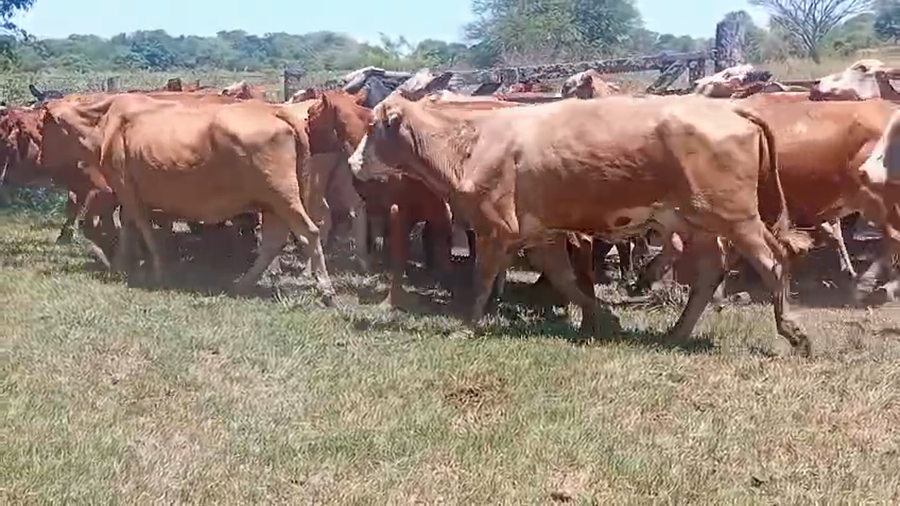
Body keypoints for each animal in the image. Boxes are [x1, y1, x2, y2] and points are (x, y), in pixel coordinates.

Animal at [37, 93, 336, 304]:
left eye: (42, 126)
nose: (40, 159)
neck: (105, 123)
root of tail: (275, 110)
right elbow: (135, 227)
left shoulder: (126, 189)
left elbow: (139, 228)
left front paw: (148, 267)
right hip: (272, 202)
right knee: (275, 241)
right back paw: (242, 284)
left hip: (282, 196)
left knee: (308, 232)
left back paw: (326, 291)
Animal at [350, 92, 815, 356]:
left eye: (373, 125)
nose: (353, 162)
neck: (470, 144)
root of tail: (731, 109)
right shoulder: (539, 235)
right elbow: (565, 279)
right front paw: (603, 321)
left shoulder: (494, 229)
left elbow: (482, 282)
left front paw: (465, 329)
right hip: (697, 222)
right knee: (709, 273)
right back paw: (676, 333)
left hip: (736, 218)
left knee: (773, 261)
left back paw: (793, 333)